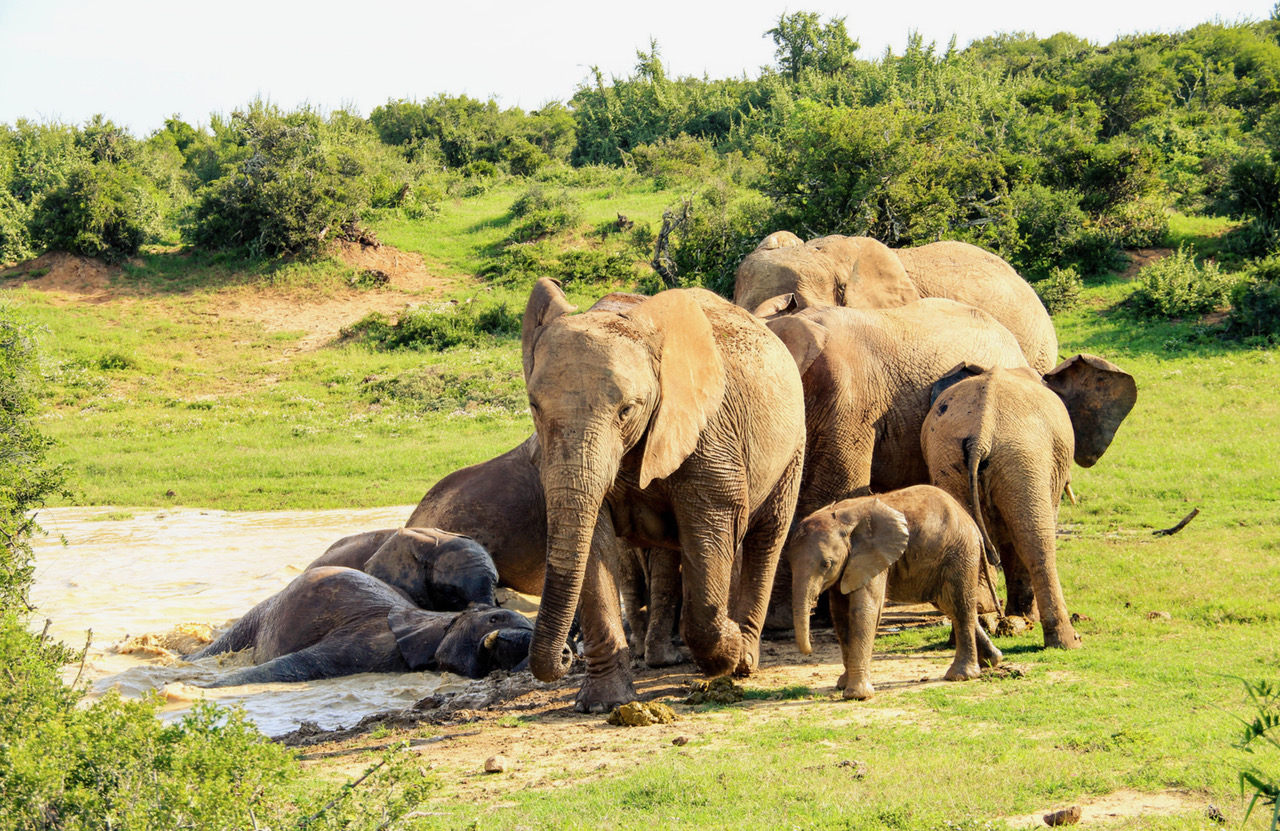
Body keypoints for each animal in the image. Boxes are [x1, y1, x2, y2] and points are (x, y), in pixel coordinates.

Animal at [521, 278, 806, 711]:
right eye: (534, 406)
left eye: (627, 409)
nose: (568, 654)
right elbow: (594, 546)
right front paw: (604, 703)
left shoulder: (710, 431)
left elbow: (714, 524)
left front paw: (728, 649)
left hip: (794, 444)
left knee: (767, 535)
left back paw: (744, 659)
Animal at [786, 486, 1002, 700]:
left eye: (826, 564)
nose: (810, 648)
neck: (842, 522)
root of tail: (973, 524)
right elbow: (840, 614)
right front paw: (842, 685)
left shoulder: (872, 556)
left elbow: (865, 610)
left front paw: (858, 695)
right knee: (949, 605)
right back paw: (992, 660)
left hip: (960, 553)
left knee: (959, 605)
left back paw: (961, 676)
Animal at [921, 356, 1137, 649]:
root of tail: (980, 435)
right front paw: (1025, 619)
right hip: (1024, 455)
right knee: (1036, 540)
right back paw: (1068, 642)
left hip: (947, 456)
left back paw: (966, 640)